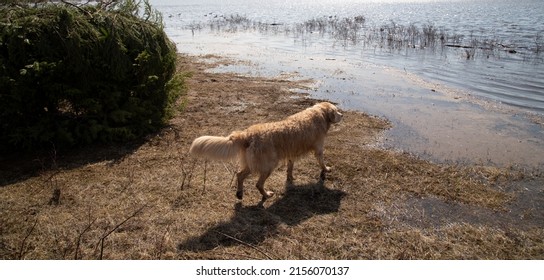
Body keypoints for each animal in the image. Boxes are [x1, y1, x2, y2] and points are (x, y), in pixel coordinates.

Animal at [189, 101, 342, 200]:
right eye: (336, 111)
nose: (343, 115)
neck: (319, 114)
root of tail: (247, 134)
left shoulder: (291, 153)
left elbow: (290, 168)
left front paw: (290, 178)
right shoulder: (319, 149)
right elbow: (321, 162)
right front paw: (326, 169)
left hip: (251, 164)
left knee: (239, 175)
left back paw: (239, 194)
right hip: (268, 166)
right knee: (258, 184)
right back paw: (266, 195)